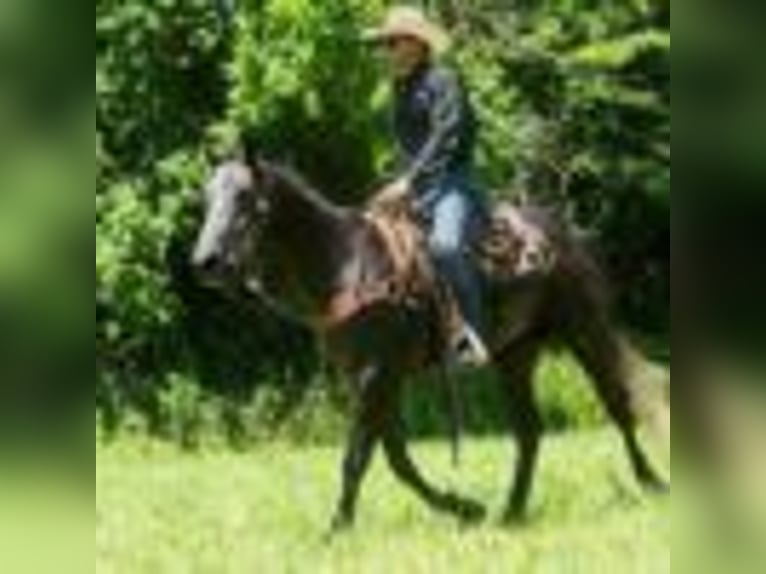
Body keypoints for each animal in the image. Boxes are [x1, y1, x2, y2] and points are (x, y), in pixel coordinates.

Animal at [190, 153, 669, 531]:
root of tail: (563, 233)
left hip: (584, 330)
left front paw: (337, 527)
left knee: (618, 406)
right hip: (514, 355)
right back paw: (511, 512)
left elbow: (358, 457)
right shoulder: (372, 380)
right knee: (530, 432)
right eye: (208, 198)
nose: (206, 262)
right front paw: (466, 509)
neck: (349, 268)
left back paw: (652, 483)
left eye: (245, 198)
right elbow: (396, 459)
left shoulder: (376, 375)